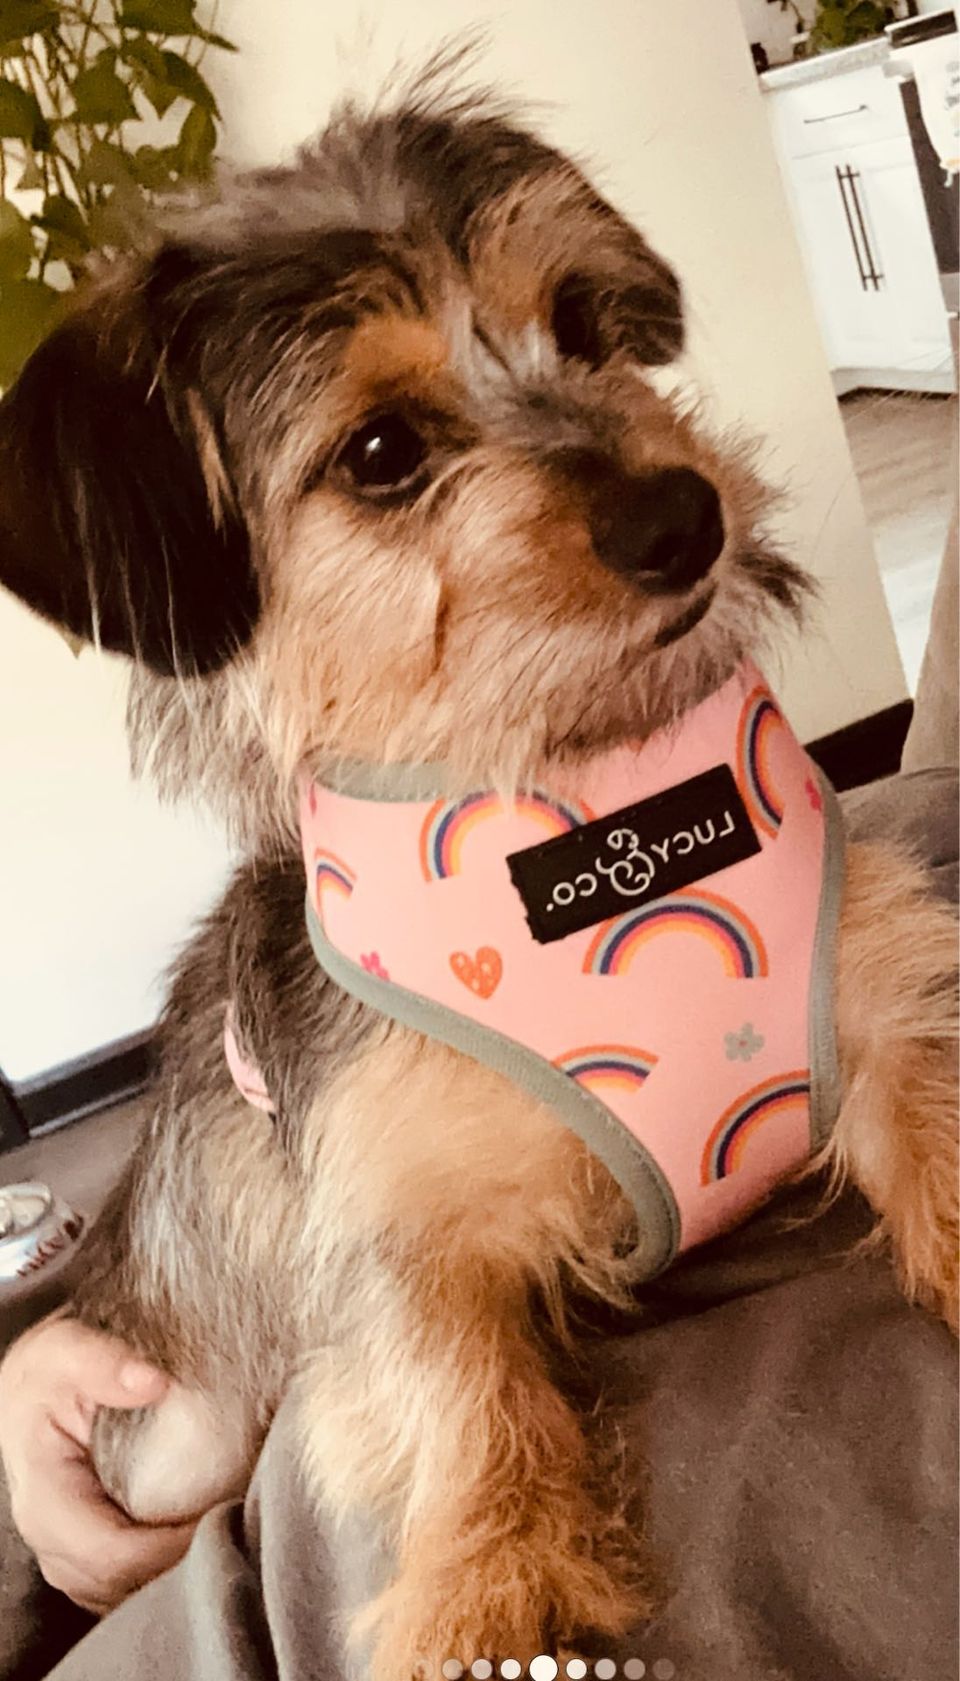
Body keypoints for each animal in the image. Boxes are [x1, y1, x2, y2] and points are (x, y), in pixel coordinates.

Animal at [0, 64, 956, 1679]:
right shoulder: (390, 1226)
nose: (682, 515)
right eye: (382, 453)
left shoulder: (882, 1000)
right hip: (174, 1435)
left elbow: (941, 1130)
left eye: (581, 321)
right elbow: (453, 1384)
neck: (580, 798)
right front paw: (487, 1587)